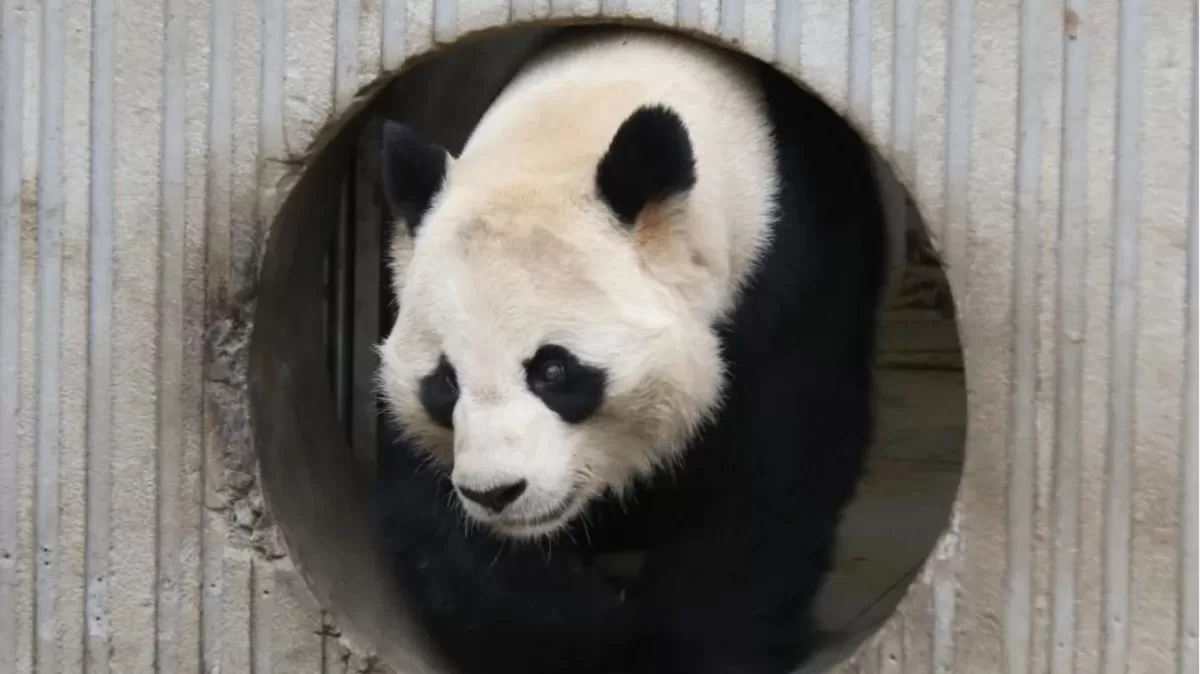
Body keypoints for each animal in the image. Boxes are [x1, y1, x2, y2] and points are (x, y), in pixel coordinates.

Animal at [375, 26, 892, 674]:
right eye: (445, 382)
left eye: (553, 370)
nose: (496, 493)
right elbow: (434, 516)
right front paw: (593, 623)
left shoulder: (790, 276)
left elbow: (769, 484)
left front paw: (679, 646)